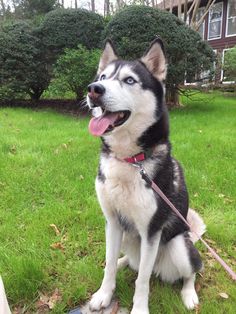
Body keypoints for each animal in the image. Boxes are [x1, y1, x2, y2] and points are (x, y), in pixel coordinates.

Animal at [86, 39, 205, 314]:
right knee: (128, 261)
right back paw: (122, 261)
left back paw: (189, 293)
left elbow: (142, 280)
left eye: (129, 80)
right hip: (128, 238)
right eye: (103, 77)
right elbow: (108, 264)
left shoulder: (151, 230)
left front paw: (139, 308)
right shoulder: (112, 221)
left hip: (179, 247)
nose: (93, 90)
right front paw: (104, 294)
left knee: (191, 270)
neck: (130, 160)